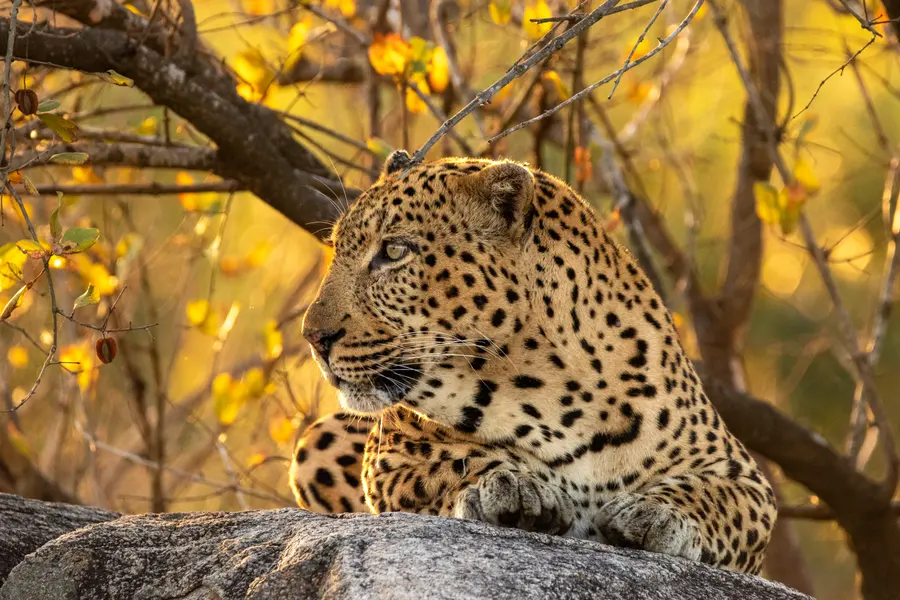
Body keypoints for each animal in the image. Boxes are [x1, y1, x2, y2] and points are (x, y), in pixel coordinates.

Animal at [290, 150, 776, 574]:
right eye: (337, 249)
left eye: (394, 252)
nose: (313, 337)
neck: (554, 387)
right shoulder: (392, 451)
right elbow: (451, 460)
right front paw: (511, 484)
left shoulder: (743, 475)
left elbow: (718, 497)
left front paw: (657, 513)